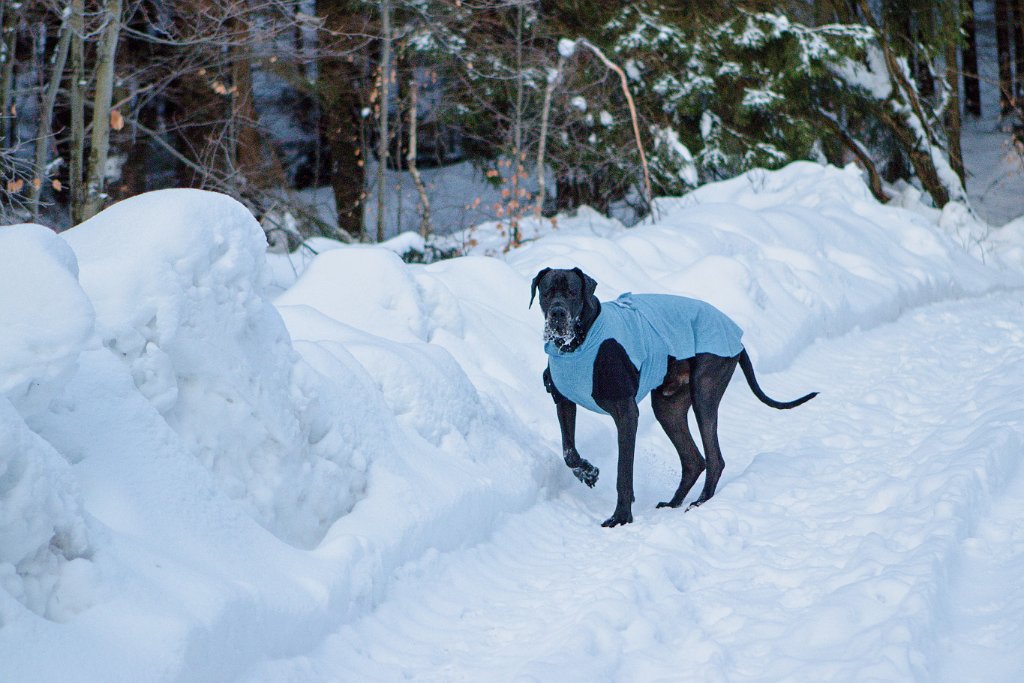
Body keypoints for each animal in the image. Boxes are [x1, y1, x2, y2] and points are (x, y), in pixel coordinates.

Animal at [532, 268, 819, 528]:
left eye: (572, 292)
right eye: (546, 292)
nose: (557, 313)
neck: (578, 343)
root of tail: (736, 336)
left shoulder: (626, 413)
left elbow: (623, 473)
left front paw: (621, 517)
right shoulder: (563, 402)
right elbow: (569, 451)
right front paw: (588, 472)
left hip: (704, 392)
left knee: (714, 459)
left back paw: (700, 502)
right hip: (668, 406)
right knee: (694, 460)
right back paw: (673, 502)